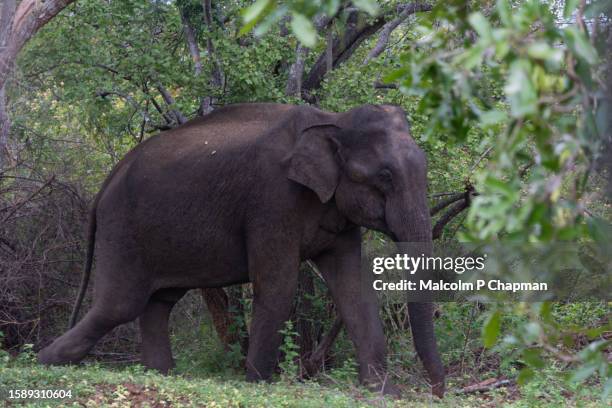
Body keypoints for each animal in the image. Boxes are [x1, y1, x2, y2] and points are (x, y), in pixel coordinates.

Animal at [38, 103, 444, 398]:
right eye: (385, 176)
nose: (438, 392)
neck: (332, 120)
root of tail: (106, 182)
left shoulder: (337, 213)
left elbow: (353, 289)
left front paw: (383, 392)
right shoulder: (272, 199)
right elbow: (278, 287)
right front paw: (259, 385)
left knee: (157, 303)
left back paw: (161, 374)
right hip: (122, 229)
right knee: (119, 305)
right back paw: (45, 361)